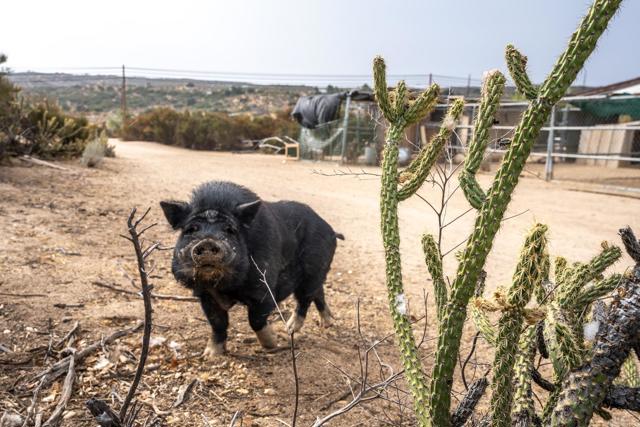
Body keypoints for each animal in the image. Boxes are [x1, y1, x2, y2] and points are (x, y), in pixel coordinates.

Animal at [160, 181, 342, 358]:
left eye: (230, 230)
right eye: (191, 229)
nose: (207, 241)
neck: (227, 286)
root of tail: (331, 230)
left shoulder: (263, 288)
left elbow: (255, 319)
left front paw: (272, 345)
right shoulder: (206, 295)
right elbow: (217, 324)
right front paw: (210, 356)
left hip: (313, 271)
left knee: (305, 299)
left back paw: (290, 329)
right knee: (318, 293)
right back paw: (327, 323)